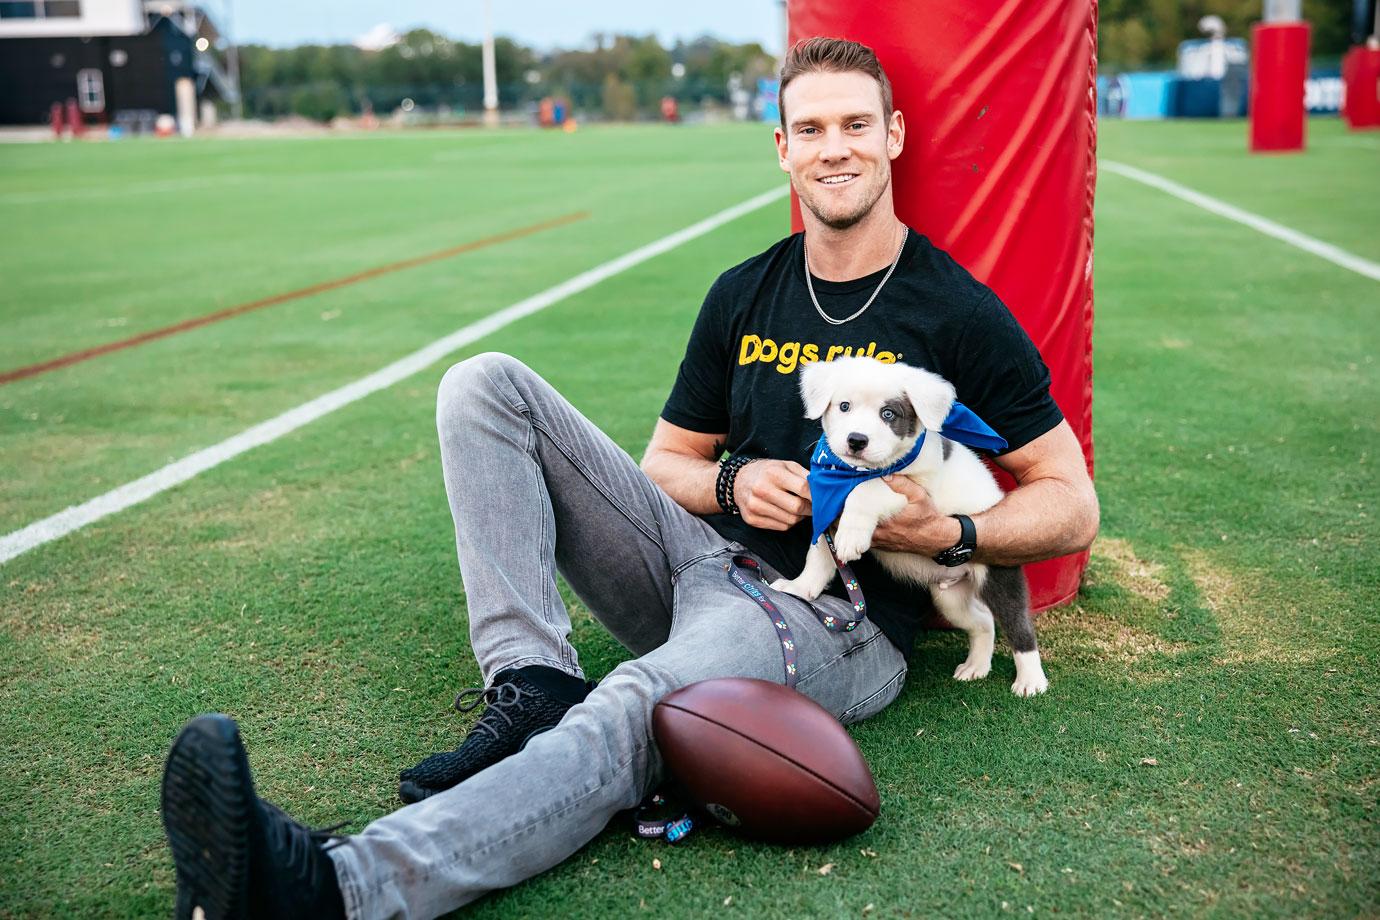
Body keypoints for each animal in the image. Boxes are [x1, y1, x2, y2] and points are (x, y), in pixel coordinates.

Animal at [772, 358, 1048, 697]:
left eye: (888, 414)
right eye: (844, 406)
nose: (856, 440)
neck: (852, 473)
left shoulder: (913, 491)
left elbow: (866, 490)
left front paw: (852, 535)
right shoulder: (828, 511)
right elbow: (818, 556)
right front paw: (799, 587)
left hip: (997, 576)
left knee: (1018, 626)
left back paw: (1030, 680)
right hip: (950, 598)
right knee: (983, 621)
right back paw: (976, 666)